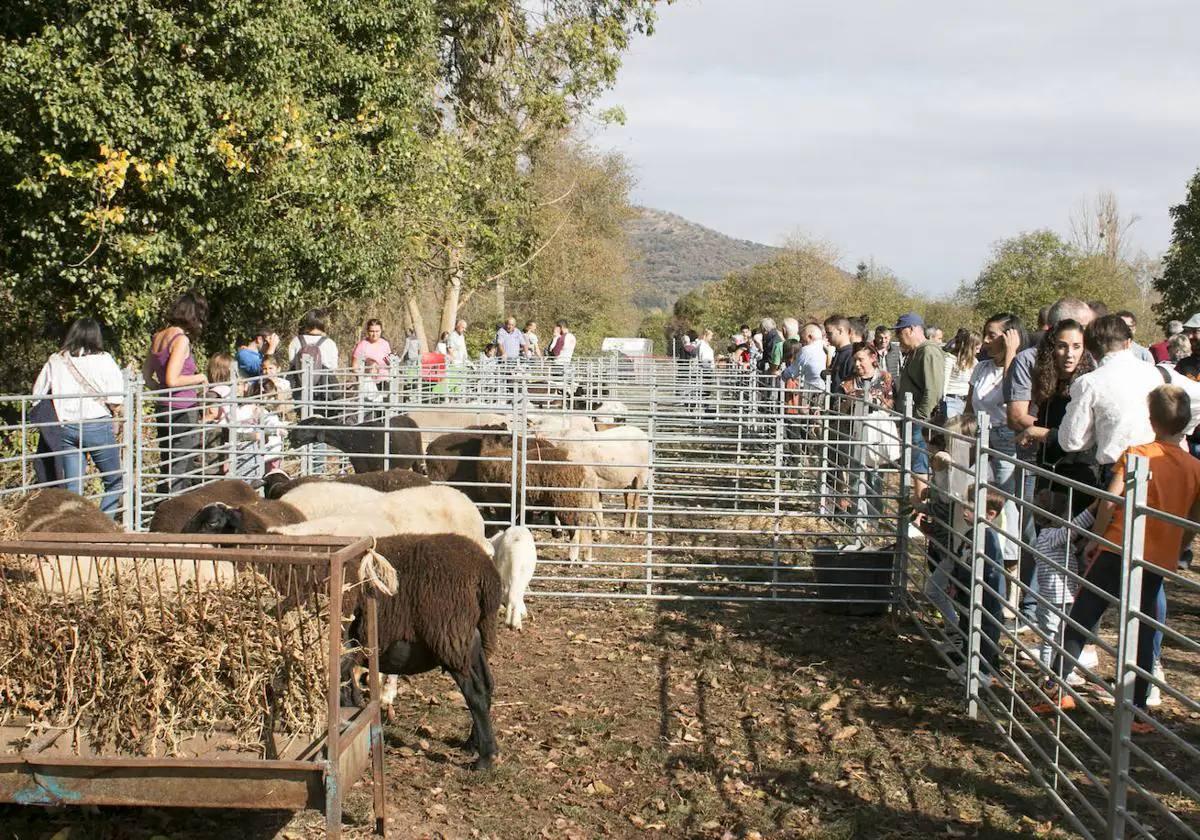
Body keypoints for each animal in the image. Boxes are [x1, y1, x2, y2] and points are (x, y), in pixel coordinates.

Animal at [340, 535, 504, 772]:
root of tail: (486, 573)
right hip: (471, 639)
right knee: (488, 684)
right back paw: (472, 744)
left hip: (451, 635)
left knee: (476, 692)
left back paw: (486, 757)